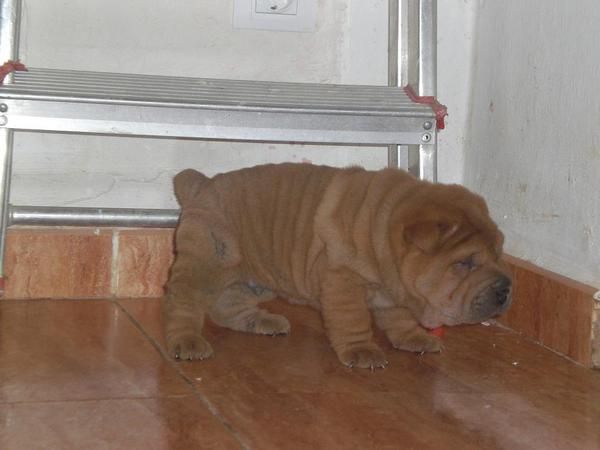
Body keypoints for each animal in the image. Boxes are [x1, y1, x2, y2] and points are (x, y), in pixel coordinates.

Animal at [163, 163, 510, 368]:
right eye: (465, 263)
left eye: (498, 255)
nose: (505, 288)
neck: (383, 233)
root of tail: (202, 184)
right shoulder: (343, 280)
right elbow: (352, 319)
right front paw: (362, 352)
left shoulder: (395, 291)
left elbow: (399, 319)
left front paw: (413, 338)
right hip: (206, 262)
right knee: (183, 301)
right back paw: (186, 342)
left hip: (254, 278)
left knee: (228, 305)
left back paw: (262, 321)